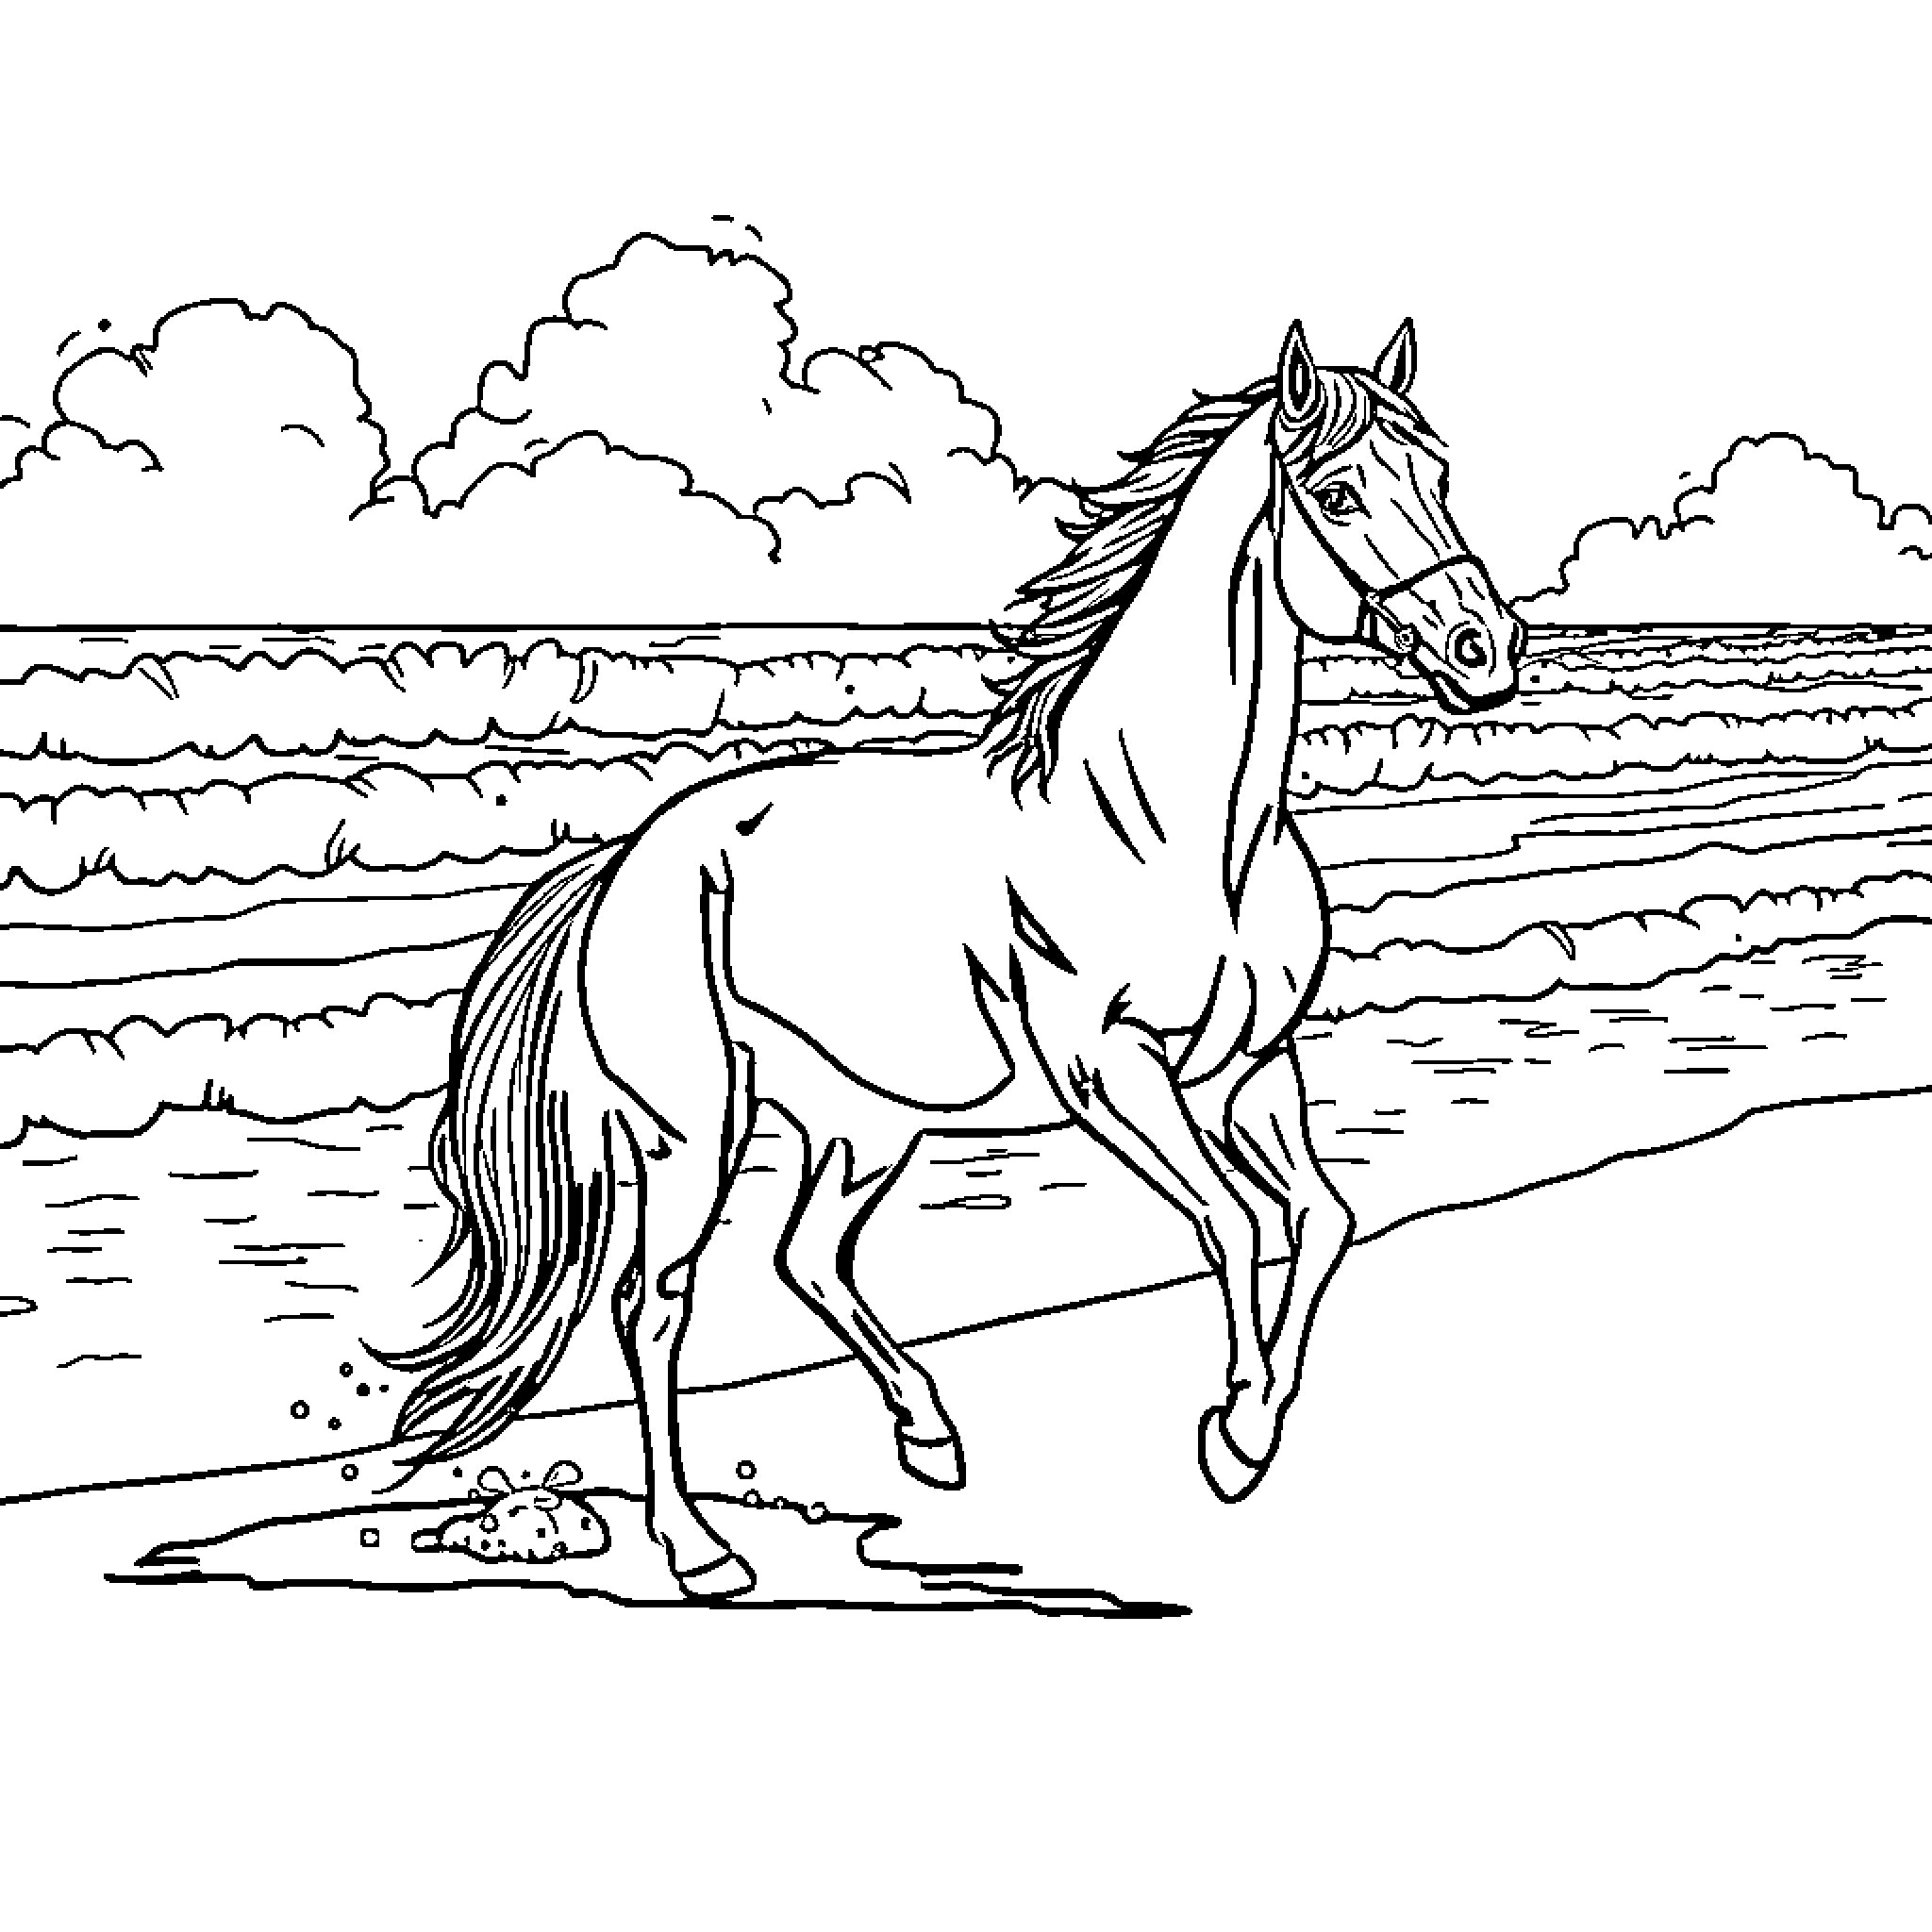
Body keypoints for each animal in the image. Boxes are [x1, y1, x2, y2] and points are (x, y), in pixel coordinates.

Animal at [378, 318, 1523, 1600]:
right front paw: (1230, 1435)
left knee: (806, 1255)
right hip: (695, 1130)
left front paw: (1252, 1422)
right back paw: (701, 1548)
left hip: (863, 1120)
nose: (1486, 650)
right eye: (1335, 493)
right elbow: (1232, 1223)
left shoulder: (1248, 1069)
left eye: (1439, 475)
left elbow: (1322, 1218)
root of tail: (628, 858)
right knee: (654, 1305)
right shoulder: (1108, 1071)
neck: (1174, 824)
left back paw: (928, 1434)